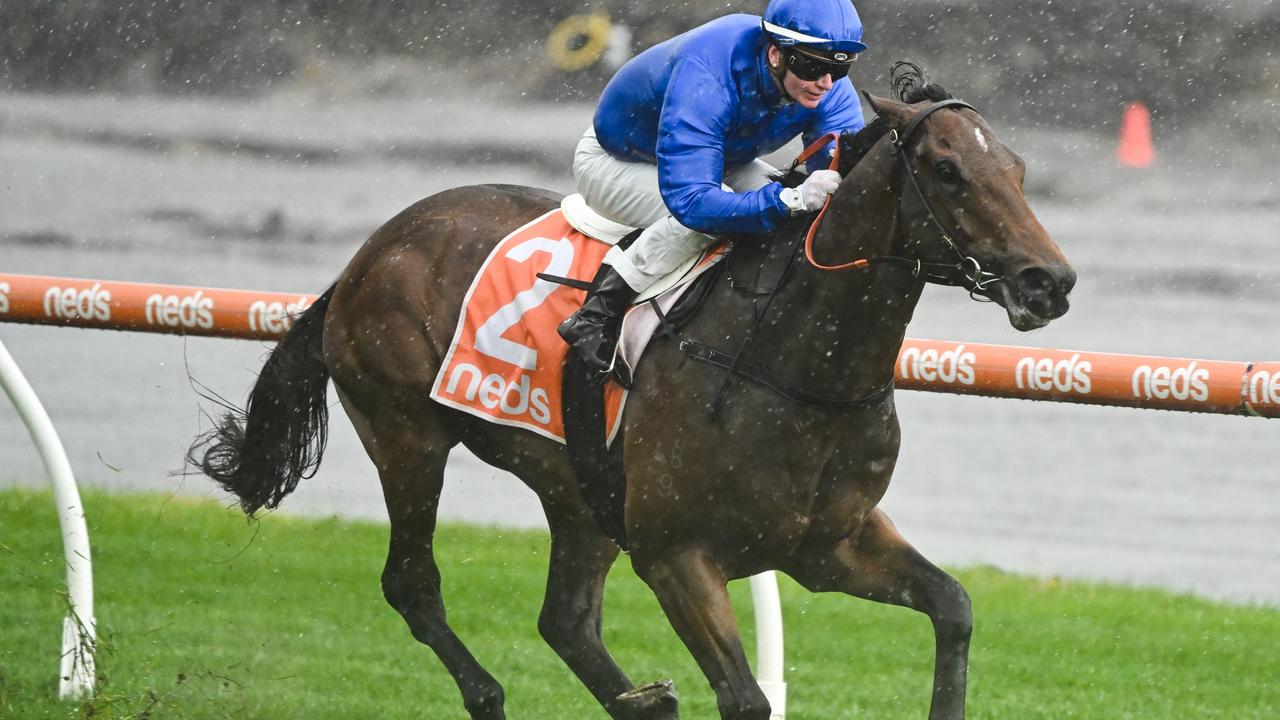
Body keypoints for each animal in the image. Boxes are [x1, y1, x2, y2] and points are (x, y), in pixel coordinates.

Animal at [186, 73, 1070, 717]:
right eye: (948, 172)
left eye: (1019, 169)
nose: (1048, 281)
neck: (797, 368)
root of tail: (369, 254)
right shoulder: (678, 554)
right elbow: (746, 699)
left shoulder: (829, 545)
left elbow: (953, 606)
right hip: (405, 433)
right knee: (413, 583)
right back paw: (493, 694)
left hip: (580, 488)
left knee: (566, 621)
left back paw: (642, 700)